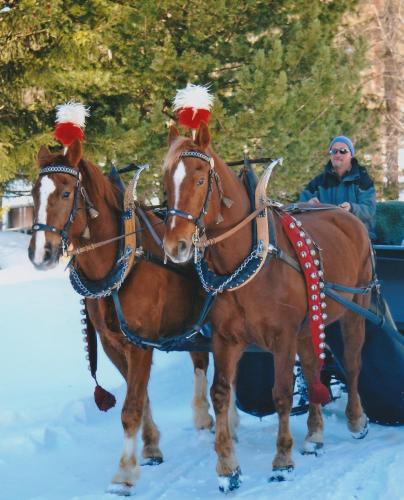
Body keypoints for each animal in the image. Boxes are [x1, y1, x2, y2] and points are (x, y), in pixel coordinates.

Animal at [28, 140, 215, 492]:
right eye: (34, 193)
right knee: (200, 359)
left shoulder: (141, 344)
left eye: (65, 192)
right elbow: (139, 397)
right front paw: (151, 446)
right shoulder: (114, 343)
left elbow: (130, 408)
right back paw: (203, 416)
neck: (122, 261)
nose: (39, 253)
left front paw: (125, 473)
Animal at [161, 123, 372, 490]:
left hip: (355, 307)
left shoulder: (282, 336)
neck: (246, 259)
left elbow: (282, 392)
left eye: (200, 180)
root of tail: (345, 214)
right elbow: (220, 392)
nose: (176, 245)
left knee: (353, 363)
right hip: (308, 325)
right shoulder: (226, 338)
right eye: (165, 182)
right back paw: (314, 436)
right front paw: (227, 468)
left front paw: (282, 460)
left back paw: (356, 420)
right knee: (314, 369)